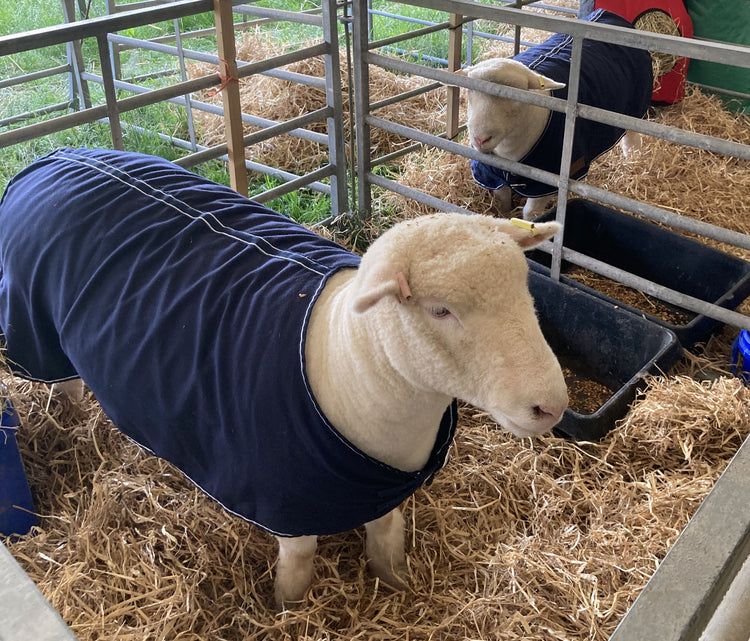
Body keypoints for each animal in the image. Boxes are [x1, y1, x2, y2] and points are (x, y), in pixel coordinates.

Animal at [0, 147, 568, 609]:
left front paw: (397, 586)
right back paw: (73, 422)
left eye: (525, 284)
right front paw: (286, 611)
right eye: (440, 310)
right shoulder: (285, 507)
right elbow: (298, 566)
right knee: (63, 384)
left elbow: (387, 539)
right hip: (35, 328)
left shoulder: (383, 492)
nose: (553, 406)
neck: (348, 358)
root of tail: (53, 157)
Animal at [461, 9, 653, 219]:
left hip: (634, 110)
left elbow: (530, 212)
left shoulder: (546, 181)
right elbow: (502, 202)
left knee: (632, 141)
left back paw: (633, 162)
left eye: (516, 97)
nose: (480, 139)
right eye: (469, 92)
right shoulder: (491, 175)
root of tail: (606, 14)